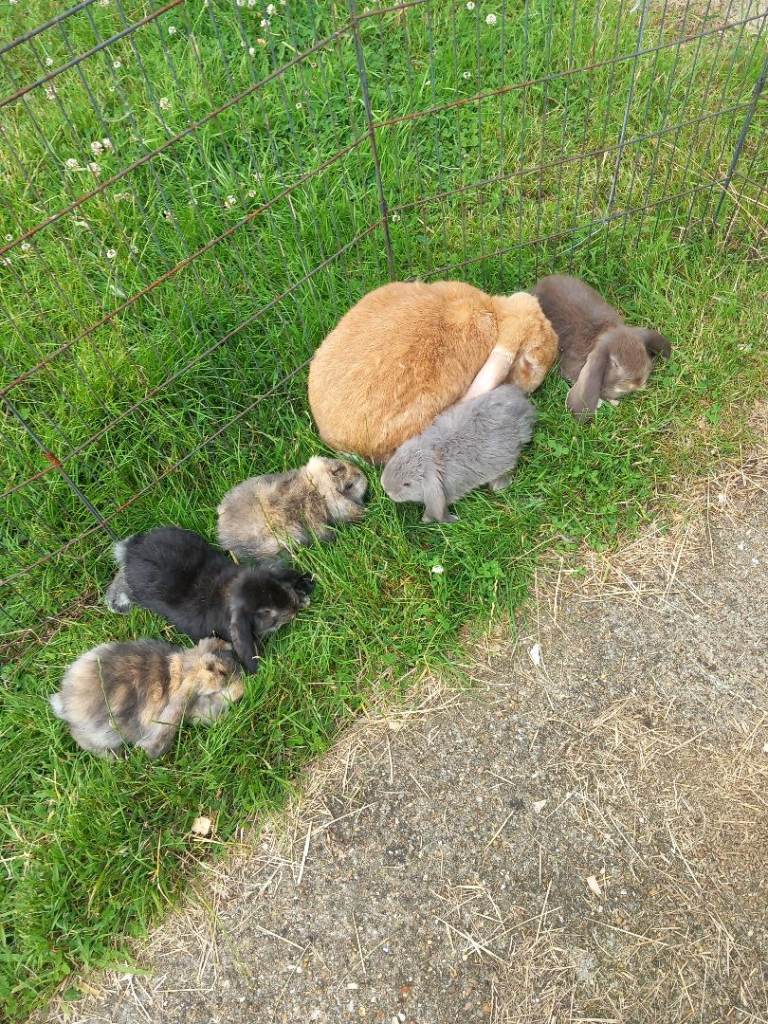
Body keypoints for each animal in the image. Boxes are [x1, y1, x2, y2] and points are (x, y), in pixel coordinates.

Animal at [380, 384, 537, 524]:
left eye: (407, 484)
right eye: (396, 456)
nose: (386, 488)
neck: (433, 454)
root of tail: (524, 406)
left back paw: (499, 485)